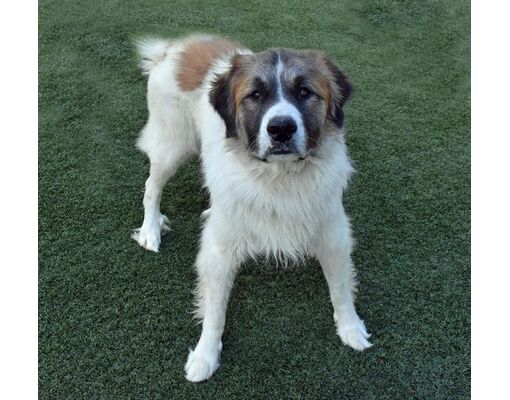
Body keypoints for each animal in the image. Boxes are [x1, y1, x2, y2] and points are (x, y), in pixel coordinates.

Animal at [131, 36, 370, 382]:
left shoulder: (333, 235)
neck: (280, 179)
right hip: (173, 146)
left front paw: (351, 328)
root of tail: (174, 47)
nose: (281, 129)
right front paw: (205, 356)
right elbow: (215, 310)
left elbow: (340, 288)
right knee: (152, 187)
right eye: (255, 95)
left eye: (304, 92)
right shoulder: (218, 254)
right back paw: (150, 230)